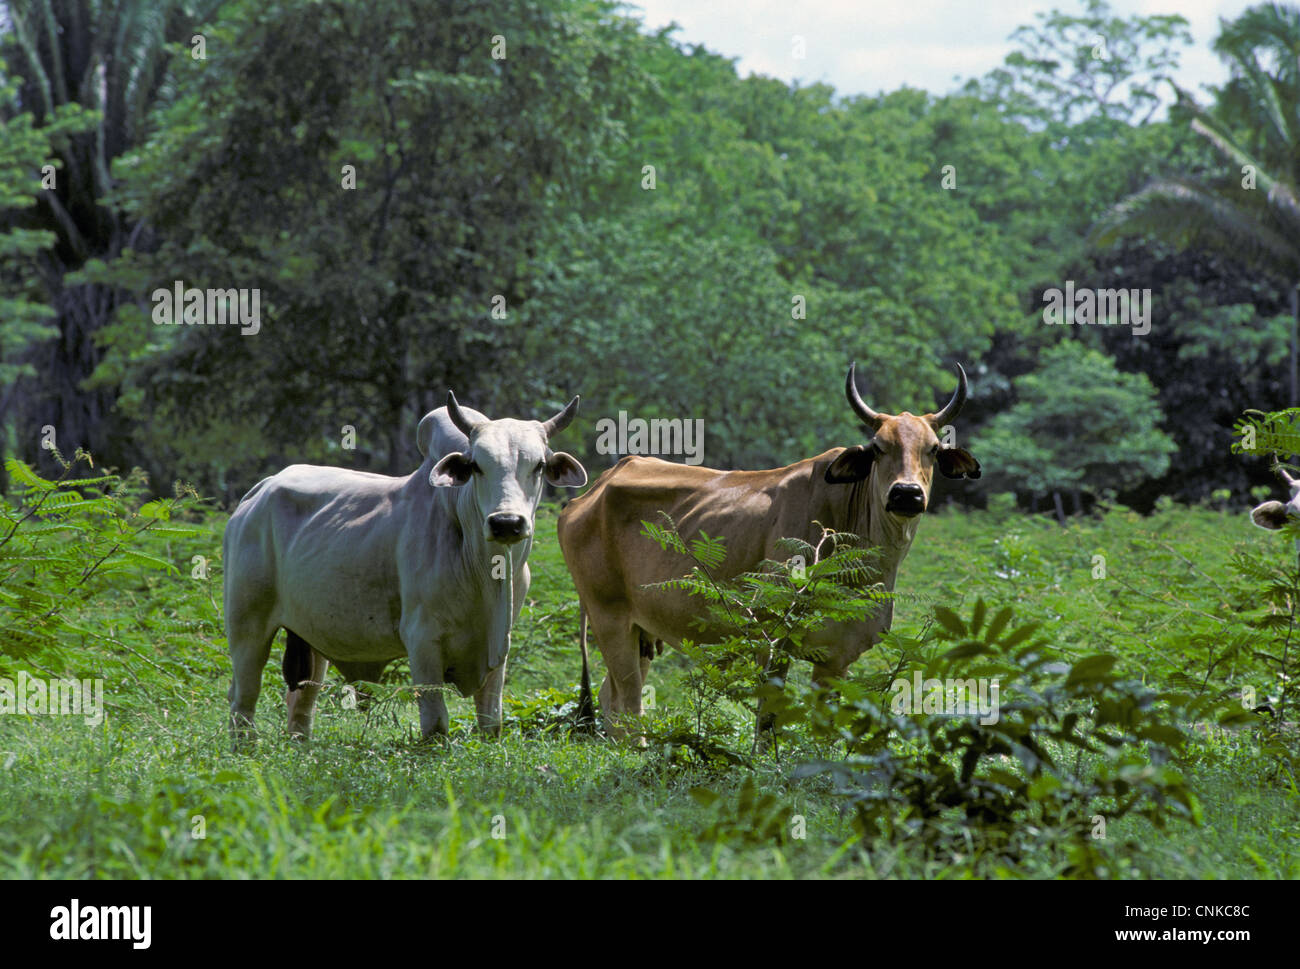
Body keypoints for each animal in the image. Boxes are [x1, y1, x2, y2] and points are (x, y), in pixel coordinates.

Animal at [224, 390, 590, 743]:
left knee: (301, 706)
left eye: (539, 465)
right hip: (247, 627)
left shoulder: (498, 646)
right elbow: (436, 724)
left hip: (311, 638)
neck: (486, 570)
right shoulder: (422, 639)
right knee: (243, 699)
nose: (506, 523)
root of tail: (258, 491)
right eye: (476, 466)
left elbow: (491, 722)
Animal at [553, 361, 977, 733]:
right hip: (609, 617)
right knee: (628, 702)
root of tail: (593, 490)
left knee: (612, 700)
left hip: (640, 631)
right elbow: (768, 721)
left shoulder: (837, 657)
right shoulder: (771, 642)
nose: (907, 493)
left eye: (934, 448)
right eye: (877, 447)